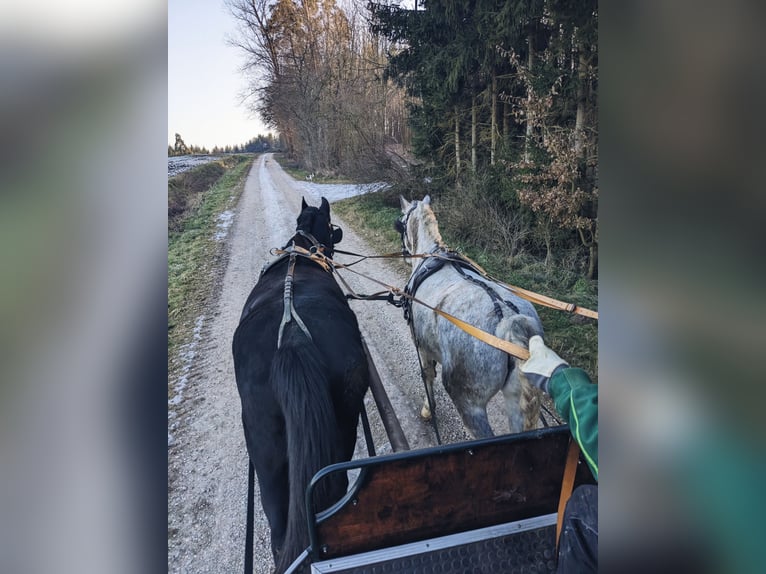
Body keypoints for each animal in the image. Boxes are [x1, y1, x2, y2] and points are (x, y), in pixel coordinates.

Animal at [396, 196, 544, 438]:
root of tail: (509, 322)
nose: (405, 255)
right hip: (516, 399)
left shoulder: (422, 346)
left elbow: (427, 375)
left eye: (401, 223)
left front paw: (428, 409)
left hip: (469, 403)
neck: (431, 254)